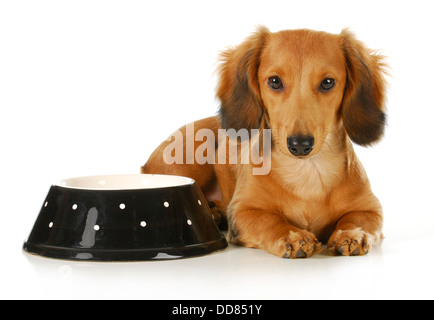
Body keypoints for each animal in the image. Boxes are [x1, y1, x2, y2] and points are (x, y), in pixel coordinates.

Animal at [142, 26, 386, 258]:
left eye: (327, 82)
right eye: (275, 81)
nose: (300, 144)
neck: (307, 172)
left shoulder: (371, 210)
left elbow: (357, 219)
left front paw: (352, 235)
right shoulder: (244, 210)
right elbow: (270, 220)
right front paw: (293, 236)